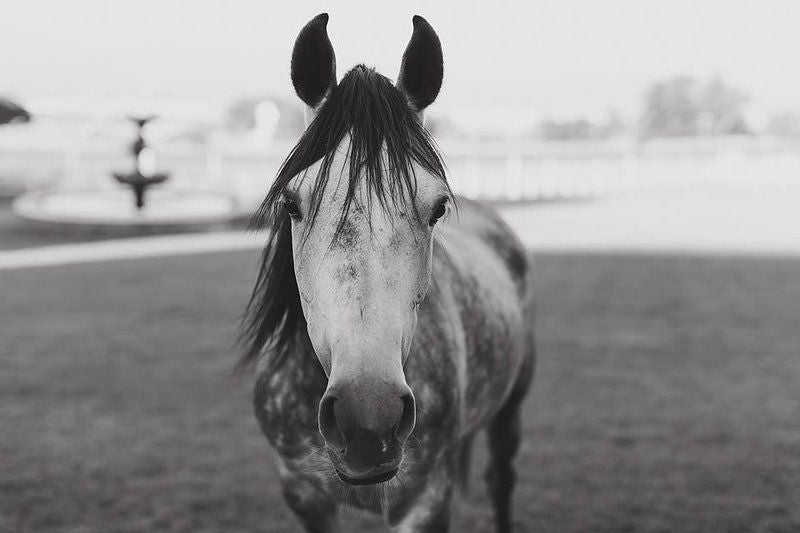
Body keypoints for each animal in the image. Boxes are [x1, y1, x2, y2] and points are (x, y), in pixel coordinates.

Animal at [241, 13, 536, 532]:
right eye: (291, 204)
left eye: (438, 208)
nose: (368, 417)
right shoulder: (303, 494)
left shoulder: (425, 499)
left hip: (511, 406)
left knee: (501, 479)